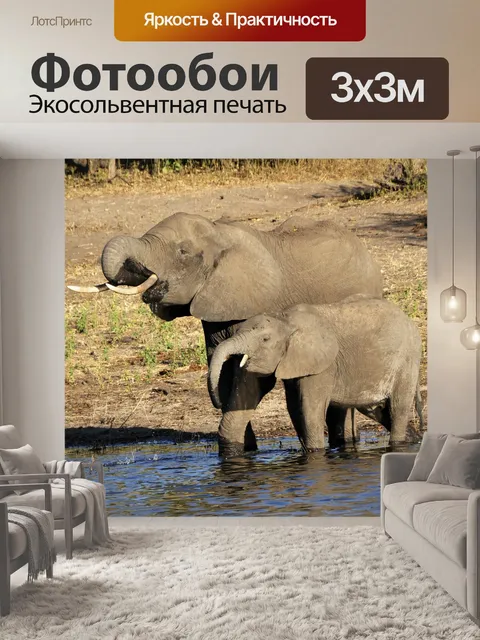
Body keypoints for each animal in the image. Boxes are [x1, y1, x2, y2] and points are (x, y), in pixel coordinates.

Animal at [68, 212, 384, 456]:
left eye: (182, 252)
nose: (139, 268)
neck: (219, 233)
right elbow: (222, 371)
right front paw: (244, 451)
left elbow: (250, 378)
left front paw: (234, 451)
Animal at [208, 295, 424, 451]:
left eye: (265, 339)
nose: (218, 402)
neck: (285, 320)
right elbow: (295, 408)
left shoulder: (323, 366)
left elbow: (310, 409)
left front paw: (315, 454)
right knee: (376, 409)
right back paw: (414, 440)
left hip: (407, 360)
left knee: (398, 408)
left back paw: (399, 444)